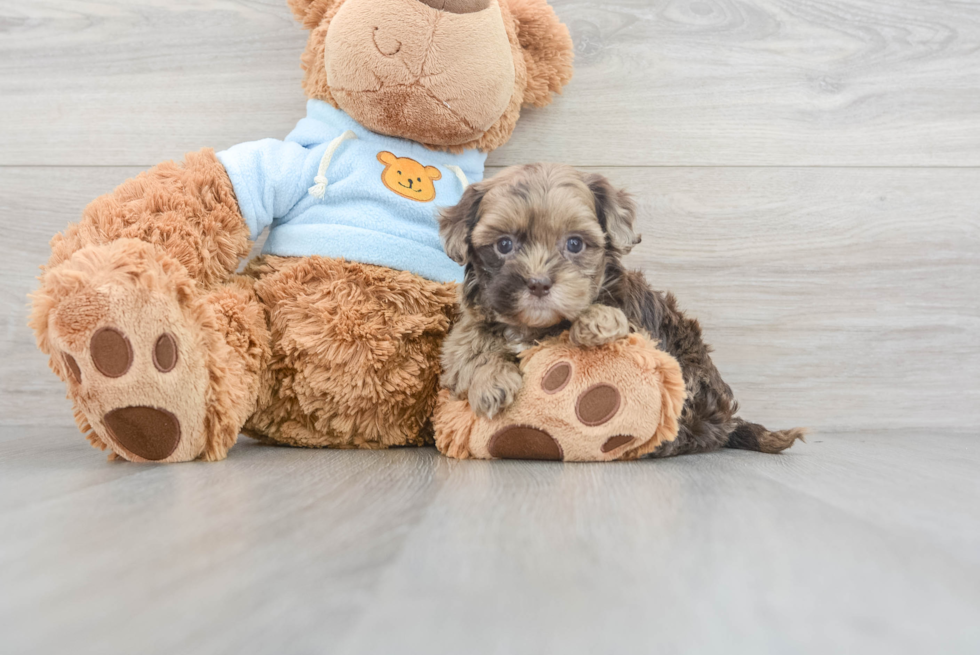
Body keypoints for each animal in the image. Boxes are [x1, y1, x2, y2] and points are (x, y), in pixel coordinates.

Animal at [440, 164, 808, 456]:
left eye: (575, 243)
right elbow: (468, 349)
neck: (535, 327)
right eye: (504, 245)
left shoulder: (640, 325)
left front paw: (596, 320)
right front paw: (491, 383)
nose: (539, 284)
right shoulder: (466, 330)